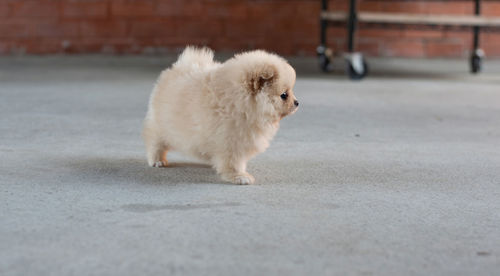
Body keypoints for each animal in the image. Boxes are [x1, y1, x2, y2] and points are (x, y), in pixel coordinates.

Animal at [142, 47, 296, 185]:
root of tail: (177, 68)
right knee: (155, 141)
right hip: (160, 124)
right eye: (284, 95)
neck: (239, 104)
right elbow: (233, 162)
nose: (297, 102)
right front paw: (239, 177)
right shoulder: (231, 141)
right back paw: (157, 160)